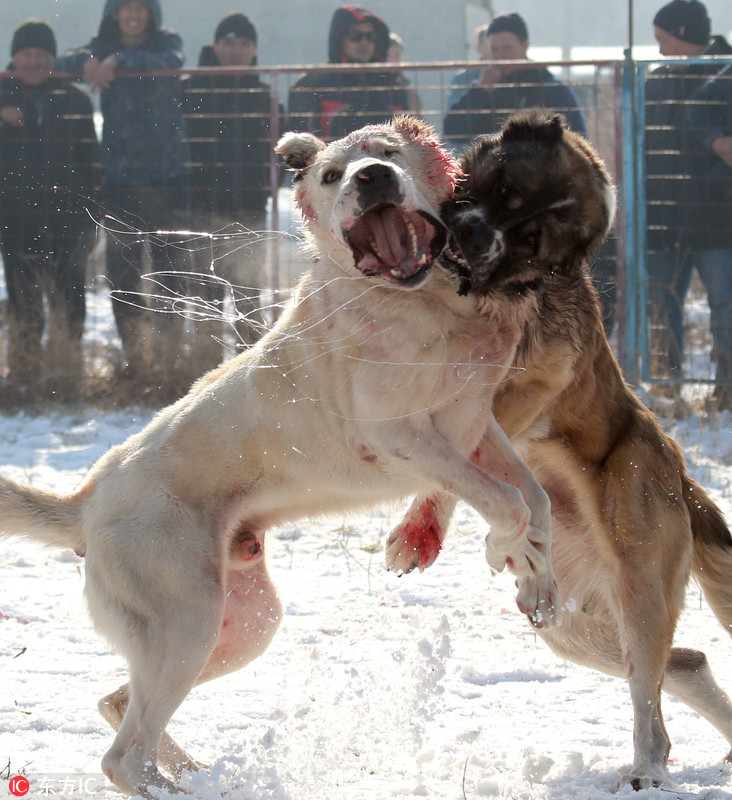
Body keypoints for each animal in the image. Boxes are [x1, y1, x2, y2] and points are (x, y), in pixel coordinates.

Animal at [0, 115, 556, 796]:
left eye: (388, 152)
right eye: (331, 175)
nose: (372, 178)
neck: (426, 301)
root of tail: (87, 499)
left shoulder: (476, 425)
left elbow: (534, 498)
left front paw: (537, 578)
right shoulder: (402, 437)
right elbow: (506, 501)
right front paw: (505, 549)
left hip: (243, 623)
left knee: (119, 705)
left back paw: (192, 773)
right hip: (187, 620)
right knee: (123, 755)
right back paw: (176, 786)